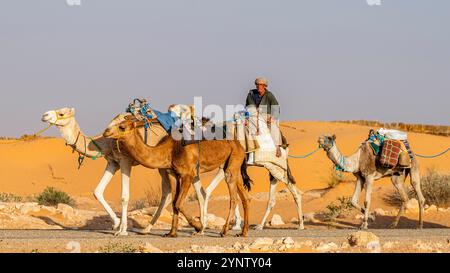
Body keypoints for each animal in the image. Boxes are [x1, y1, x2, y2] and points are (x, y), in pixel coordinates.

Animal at [41, 107, 210, 235]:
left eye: (61, 113)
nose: (44, 115)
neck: (105, 141)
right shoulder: (112, 163)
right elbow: (97, 191)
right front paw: (116, 224)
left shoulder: (125, 161)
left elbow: (124, 196)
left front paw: (122, 230)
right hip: (166, 166)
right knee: (177, 193)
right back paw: (148, 229)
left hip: (168, 165)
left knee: (185, 192)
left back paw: (200, 229)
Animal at [103, 118, 251, 236]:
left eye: (122, 126)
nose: (106, 132)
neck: (169, 150)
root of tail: (239, 145)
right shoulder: (172, 173)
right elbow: (174, 202)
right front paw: (171, 233)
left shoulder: (188, 174)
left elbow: (179, 203)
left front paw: (198, 227)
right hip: (234, 164)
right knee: (245, 197)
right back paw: (243, 232)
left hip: (232, 162)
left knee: (233, 197)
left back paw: (224, 231)